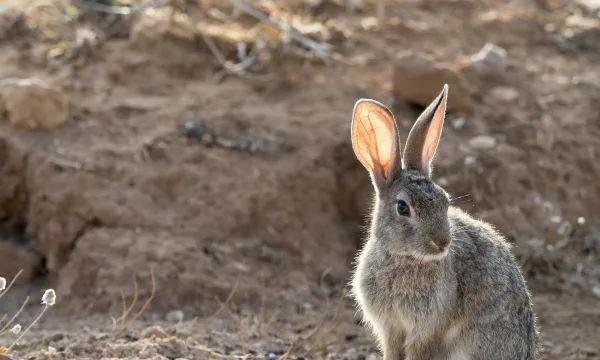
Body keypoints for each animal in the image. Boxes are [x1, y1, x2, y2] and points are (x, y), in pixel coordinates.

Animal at [346, 85, 540, 360]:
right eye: (403, 208)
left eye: (444, 200)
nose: (442, 242)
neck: (403, 258)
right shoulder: (391, 328)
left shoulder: (426, 330)